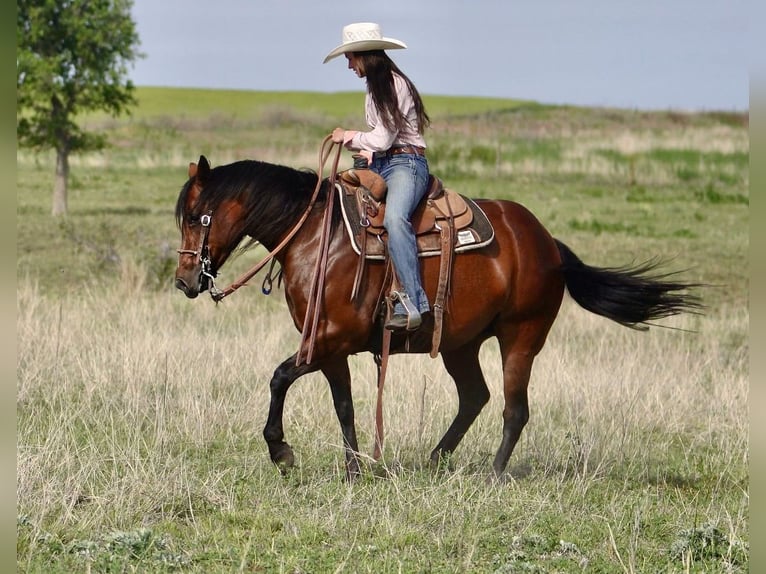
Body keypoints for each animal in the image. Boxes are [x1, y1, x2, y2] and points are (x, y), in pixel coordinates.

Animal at [174, 151, 704, 480]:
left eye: (198, 216)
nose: (184, 281)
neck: (315, 237)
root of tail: (548, 244)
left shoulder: (331, 338)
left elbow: (279, 378)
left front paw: (280, 451)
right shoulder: (327, 345)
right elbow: (343, 405)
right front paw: (355, 470)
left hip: (521, 338)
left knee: (514, 409)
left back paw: (493, 475)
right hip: (460, 344)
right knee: (475, 397)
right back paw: (435, 460)